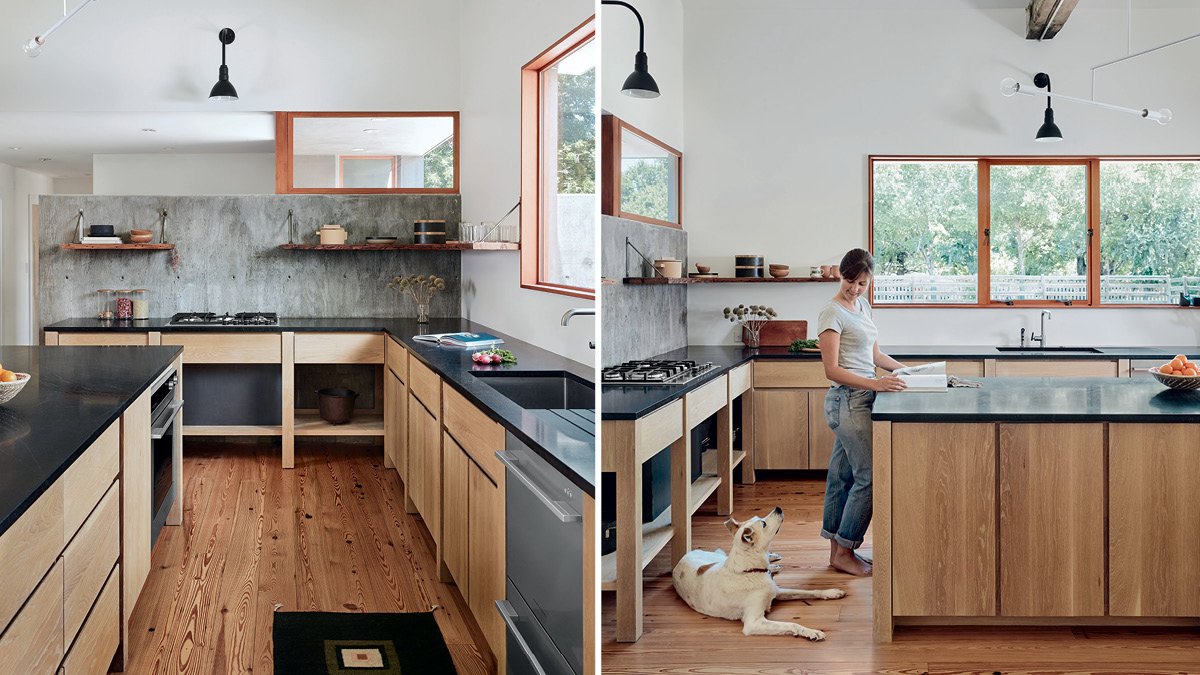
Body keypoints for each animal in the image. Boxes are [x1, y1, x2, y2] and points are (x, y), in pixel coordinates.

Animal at [676, 506, 844, 638]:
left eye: (759, 518)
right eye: (763, 523)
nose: (778, 508)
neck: (751, 570)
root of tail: (682, 558)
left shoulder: (777, 591)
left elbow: (810, 591)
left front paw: (831, 592)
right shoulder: (754, 623)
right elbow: (791, 624)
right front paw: (811, 632)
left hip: (718, 557)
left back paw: (773, 561)